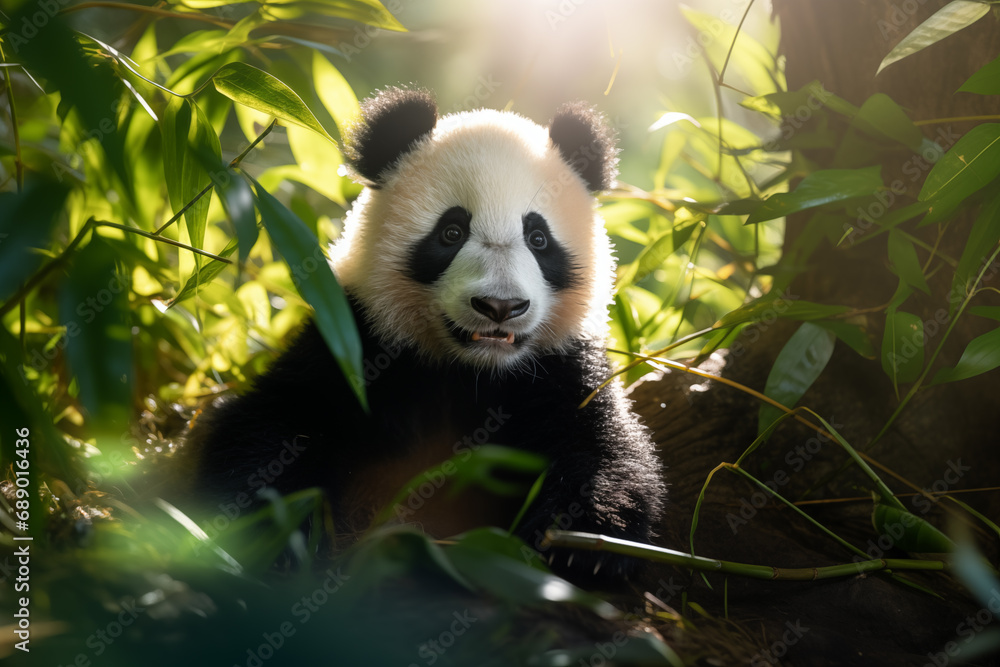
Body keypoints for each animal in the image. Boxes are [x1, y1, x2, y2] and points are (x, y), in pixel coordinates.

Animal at [182, 87, 664, 578]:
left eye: (538, 239)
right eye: (451, 232)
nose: (500, 306)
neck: (469, 371)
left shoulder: (562, 366)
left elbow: (602, 447)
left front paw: (583, 543)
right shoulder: (354, 339)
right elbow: (274, 424)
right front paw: (277, 532)